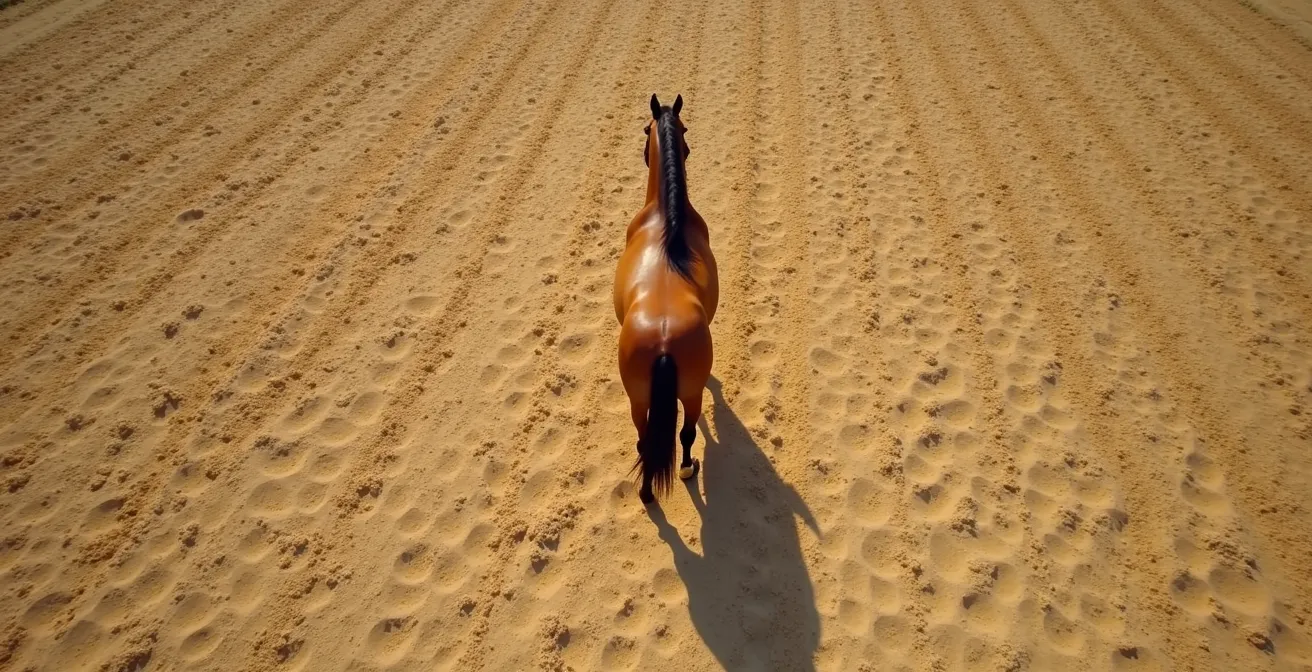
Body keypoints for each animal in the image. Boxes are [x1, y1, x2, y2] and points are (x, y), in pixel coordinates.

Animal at [613, 93, 719, 505]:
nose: (688, 148)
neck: (667, 221)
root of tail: (661, 342)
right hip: (679, 394)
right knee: (675, 435)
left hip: (643, 399)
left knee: (652, 441)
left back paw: (655, 488)